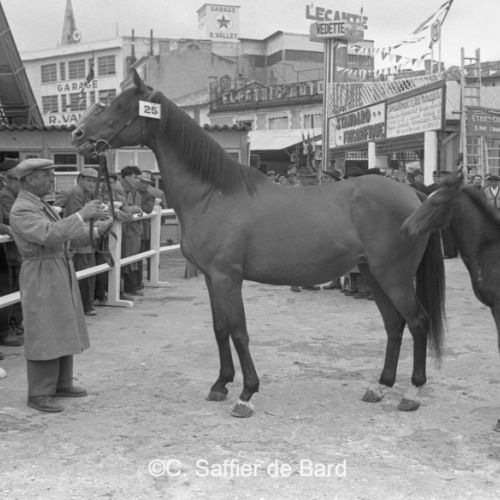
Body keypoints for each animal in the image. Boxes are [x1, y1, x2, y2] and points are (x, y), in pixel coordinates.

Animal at [71, 69, 445, 418]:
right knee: (394, 324)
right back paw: (380, 387)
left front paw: (246, 393)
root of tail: (412, 194)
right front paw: (221, 384)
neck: (214, 194)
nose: (77, 135)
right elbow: (220, 328)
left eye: (121, 105)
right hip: (372, 274)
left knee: (417, 322)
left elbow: (239, 331)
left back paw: (412, 393)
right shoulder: (212, 279)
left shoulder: (228, 277)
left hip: (393, 276)